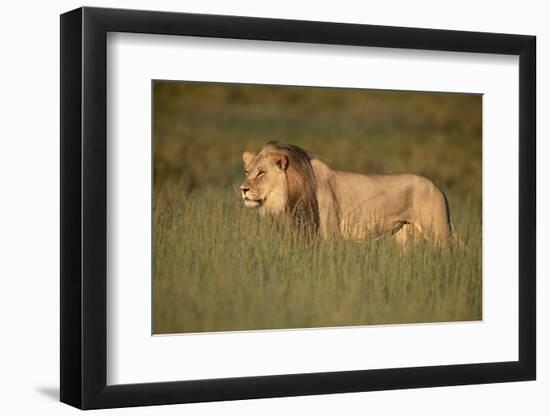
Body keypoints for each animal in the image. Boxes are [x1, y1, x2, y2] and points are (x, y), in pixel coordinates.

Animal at [242, 141, 458, 245]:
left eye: (261, 173)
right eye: (246, 171)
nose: (243, 189)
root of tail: (438, 187)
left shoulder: (330, 234)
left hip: (439, 233)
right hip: (405, 237)